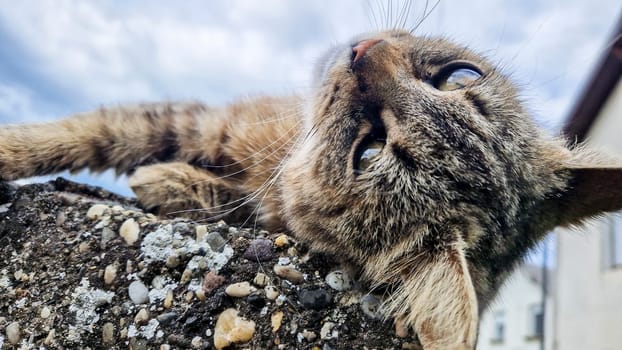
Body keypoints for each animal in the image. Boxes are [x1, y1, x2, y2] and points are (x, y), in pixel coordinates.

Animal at [1, 30, 622, 350]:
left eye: (368, 151)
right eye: (458, 77)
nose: (362, 52)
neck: (284, 154)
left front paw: (173, 183)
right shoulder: (204, 122)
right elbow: (94, 131)